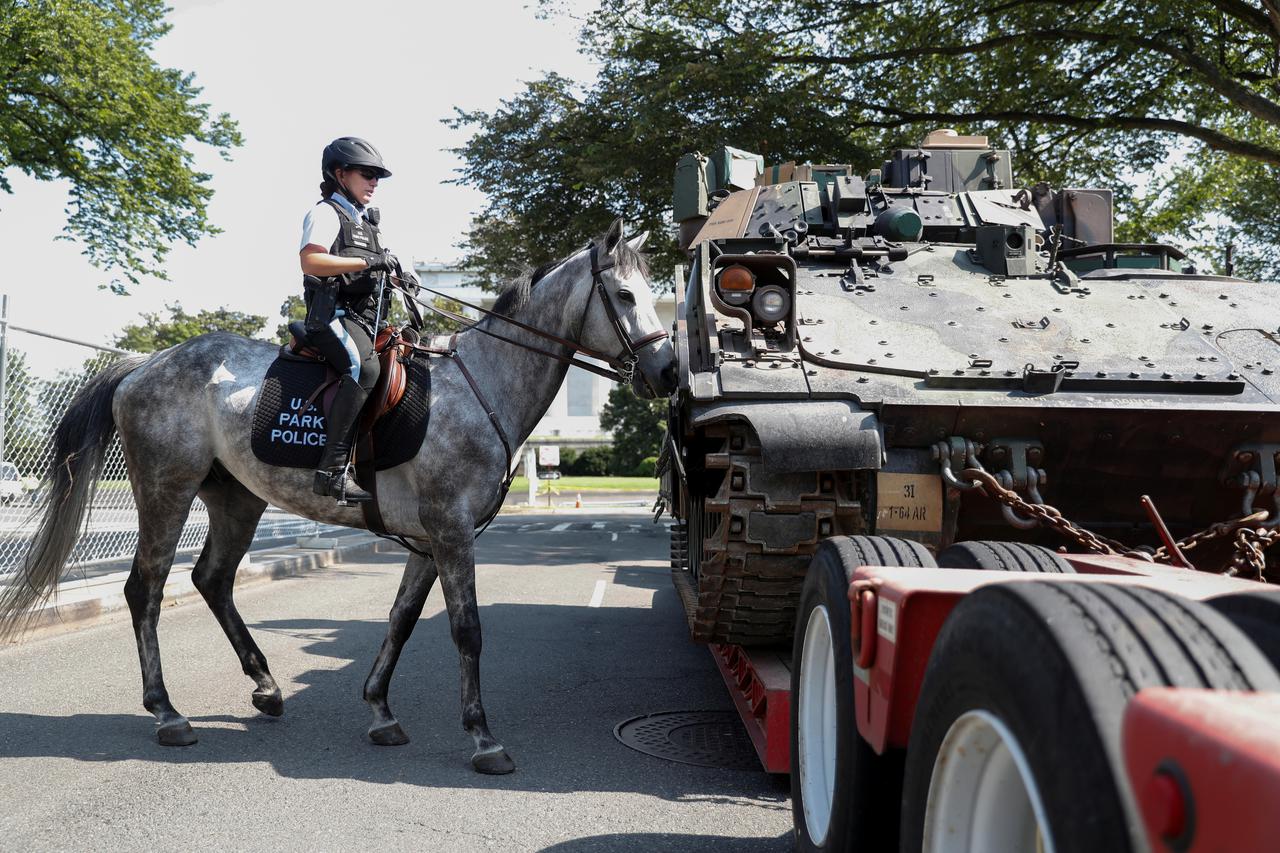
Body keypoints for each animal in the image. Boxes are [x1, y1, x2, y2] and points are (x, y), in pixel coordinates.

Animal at [0, 217, 675, 768]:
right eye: (624, 296)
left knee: (212, 580)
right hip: (167, 491)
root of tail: (143, 366)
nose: (668, 372)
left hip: (237, 499)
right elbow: (467, 629)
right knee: (147, 590)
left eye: (652, 294)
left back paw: (266, 686)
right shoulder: (452, 533)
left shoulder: (427, 541)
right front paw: (483, 738)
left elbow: (402, 622)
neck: (480, 385)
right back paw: (167, 712)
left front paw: (380, 710)